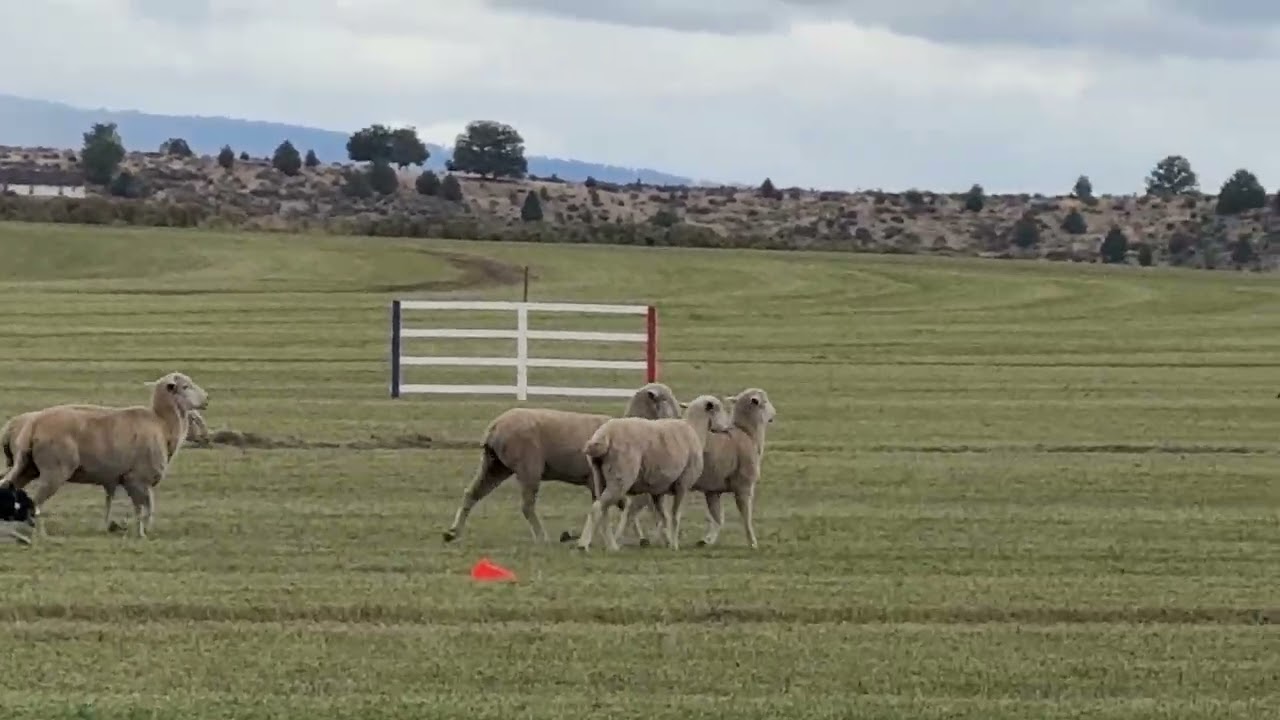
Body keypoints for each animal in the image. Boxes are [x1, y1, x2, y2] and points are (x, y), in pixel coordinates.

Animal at [0, 371, 209, 539]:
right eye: (185, 386)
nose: (207, 399)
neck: (162, 424)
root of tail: (33, 424)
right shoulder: (137, 478)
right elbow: (144, 507)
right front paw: (142, 533)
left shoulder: (127, 480)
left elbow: (140, 507)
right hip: (54, 471)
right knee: (35, 503)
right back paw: (40, 534)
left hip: (27, 468)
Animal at [442, 382, 682, 543]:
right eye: (665, 400)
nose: (680, 420)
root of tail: (494, 427)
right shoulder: (599, 480)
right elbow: (622, 505)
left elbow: (621, 505)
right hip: (528, 467)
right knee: (527, 506)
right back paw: (542, 537)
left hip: (494, 464)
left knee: (471, 493)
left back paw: (453, 532)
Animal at [576, 394, 733, 552]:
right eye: (719, 408)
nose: (729, 428)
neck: (695, 430)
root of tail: (604, 436)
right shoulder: (683, 483)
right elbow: (675, 515)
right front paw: (674, 545)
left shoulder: (658, 491)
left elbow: (663, 517)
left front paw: (668, 541)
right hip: (621, 478)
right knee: (597, 508)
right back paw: (584, 544)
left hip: (599, 477)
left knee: (603, 510)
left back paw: (611, 546)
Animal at [616, 388, 776, 549]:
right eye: (765, 401)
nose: (774, 415)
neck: (747, 434)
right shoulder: (744, 486)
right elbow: (746, 516)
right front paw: (753, 543)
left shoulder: (713, 490)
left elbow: (718, 518)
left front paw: (706, 540)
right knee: (631, 511)